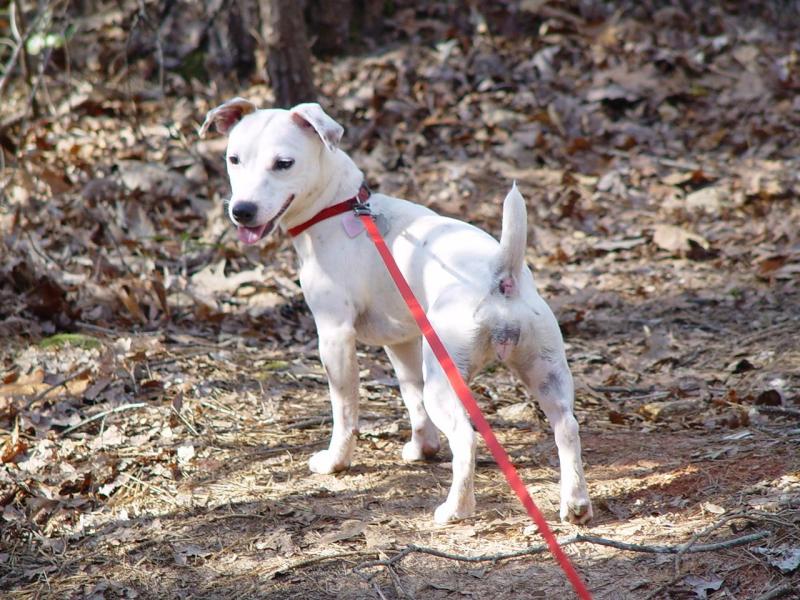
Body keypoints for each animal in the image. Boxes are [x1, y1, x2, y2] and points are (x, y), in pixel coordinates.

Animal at [199, 99, 592, 524]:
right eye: (233, 159)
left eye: (283, 163)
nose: (242, 211)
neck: (338, 209)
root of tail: (502, 276)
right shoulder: (403, 343)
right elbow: (411, 398)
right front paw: (422, 449)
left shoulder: (334, 336)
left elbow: (345, 410)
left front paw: (335, 462)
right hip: (545, 372)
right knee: (567, 427)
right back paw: (575, 504)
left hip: (447, 381)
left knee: (467, 438)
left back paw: (456, 508)